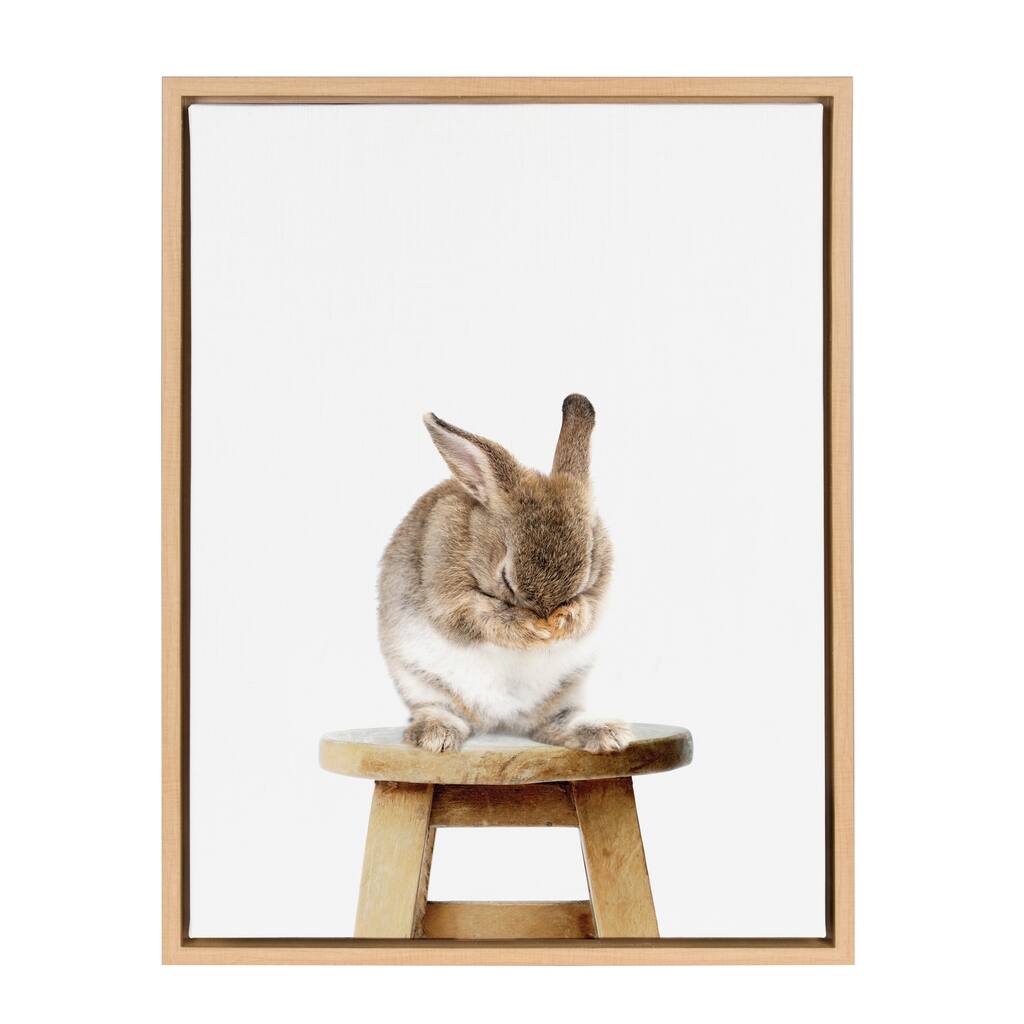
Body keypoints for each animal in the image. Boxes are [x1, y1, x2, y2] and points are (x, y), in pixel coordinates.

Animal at [377, 393, 630, 754]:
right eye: (506, 579)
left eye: (587, 569)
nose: (547, 618)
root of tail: (500, 720)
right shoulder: (448, 595)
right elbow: (481, 617)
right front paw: (531, 629)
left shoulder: (600, 591)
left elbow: (590, 609)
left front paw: (567, 620)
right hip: (421, 683)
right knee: (437, 710)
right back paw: (436, 736)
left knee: (555, 724)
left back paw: (606, 734)